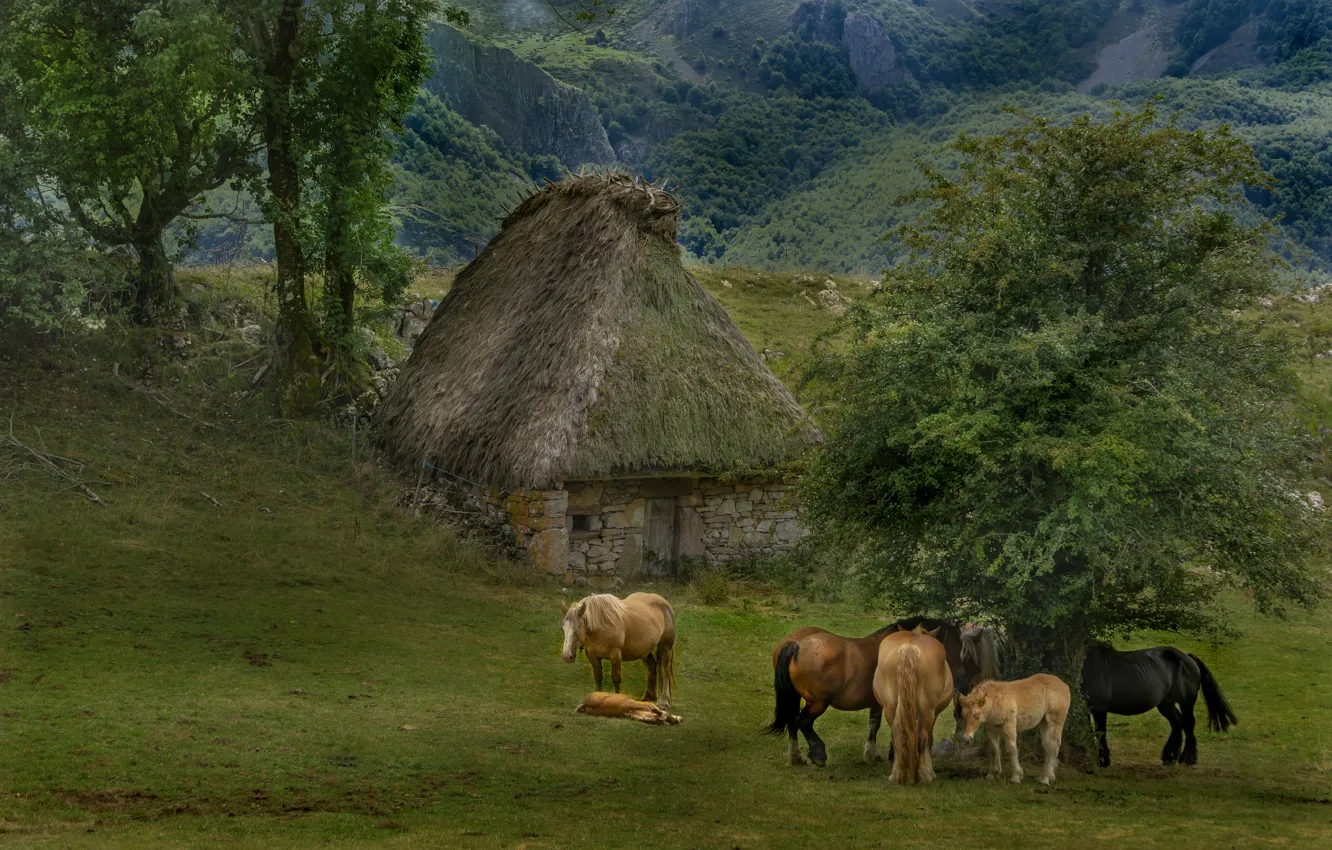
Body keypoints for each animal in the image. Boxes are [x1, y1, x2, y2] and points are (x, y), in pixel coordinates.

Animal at [767, 617, 1001, 767]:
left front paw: (873, 753)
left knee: (791, 722)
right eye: (962, 652)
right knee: (802, 722)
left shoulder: (877, 703)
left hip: (795, 697)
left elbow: (874, 724)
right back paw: (818, 754)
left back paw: (796, 757)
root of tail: (796, 644)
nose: (967, 680)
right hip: (818, 702)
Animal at [872, 630, 955, 784]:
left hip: (890, 708)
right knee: (922, 738)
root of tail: (909, 647)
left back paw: (897, 775)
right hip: (927, 710)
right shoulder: (934, 714)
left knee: (896, 736)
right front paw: (930, 771)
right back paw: (923, 776)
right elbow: (929, 740)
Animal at [1082, 643, 1237, 767]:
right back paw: (1170, 757)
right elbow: (1088, 731)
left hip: (1186, 701)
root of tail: (1187, 658)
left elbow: (1100, 732)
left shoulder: (1099, 708)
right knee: (1177, 723)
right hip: (1166, 704)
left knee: (1188, 723)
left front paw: (1103, 761)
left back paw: (1188, 758)